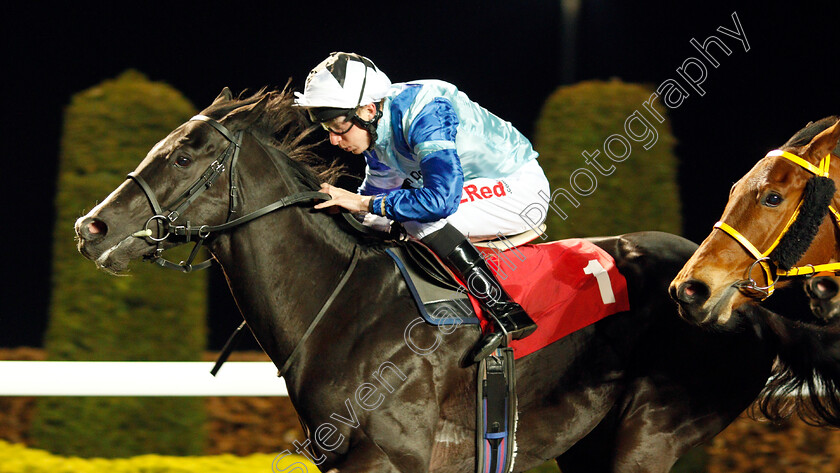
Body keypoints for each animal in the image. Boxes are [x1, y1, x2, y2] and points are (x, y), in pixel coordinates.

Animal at [74, 89, 840, 472]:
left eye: (183, 154)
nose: (90, 228)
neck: (344, 305)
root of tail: (734, 296)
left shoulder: (394, 458)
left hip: (648, 436)